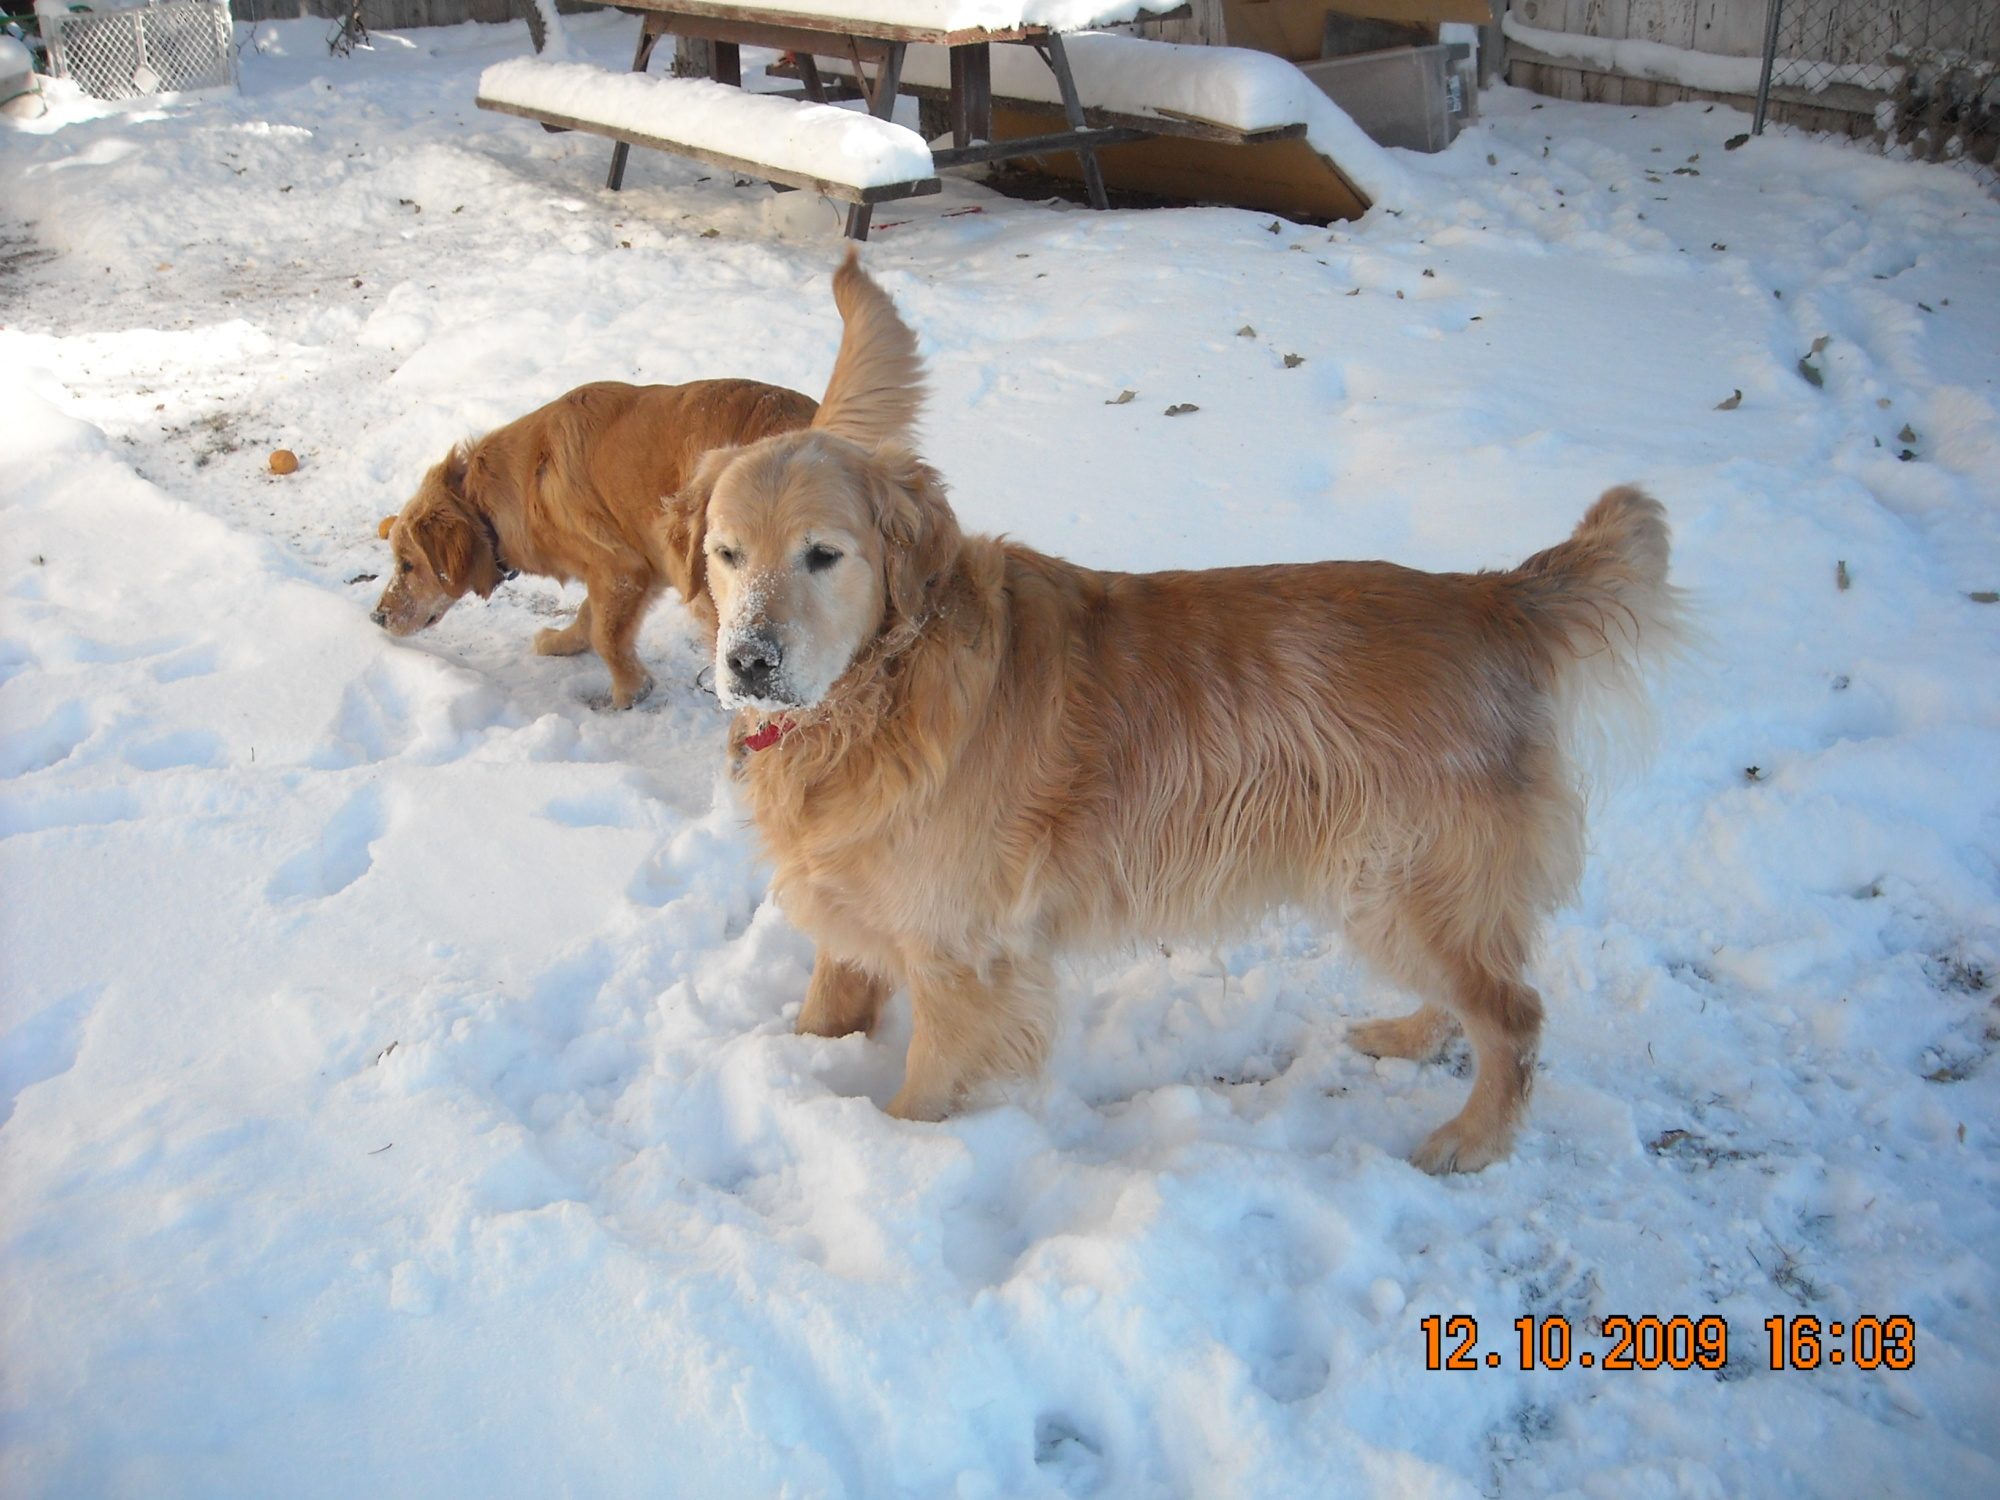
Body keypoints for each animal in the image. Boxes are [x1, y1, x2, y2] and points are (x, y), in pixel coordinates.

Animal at [372, 378, 817, 708]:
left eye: (406, 564)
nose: (377, 617)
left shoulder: (619, 568)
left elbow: (605, 635)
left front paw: (628, 691)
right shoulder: (638, 569)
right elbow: (589, 616)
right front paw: (562, 642)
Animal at [683, 257, 1683, 1173]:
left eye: (824, 555)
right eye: (726, 554)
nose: (751, 662)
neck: (886, 686)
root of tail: (1493, 596)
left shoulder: (963, 957)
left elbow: (926, 1087)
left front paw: (895, 1151)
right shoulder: (855, 909)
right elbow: (825, 1011)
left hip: (1404, 878)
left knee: (1516, 1014)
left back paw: (1469, 1143)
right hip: (1402, 888)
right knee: (1475, 997)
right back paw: (1406, 1035)